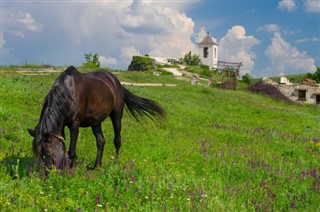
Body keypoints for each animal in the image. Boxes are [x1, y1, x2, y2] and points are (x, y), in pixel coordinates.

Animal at [27, 65, 165, 171]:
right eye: (39, 153)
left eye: (48, 151)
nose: (47, 173)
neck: (68, 93)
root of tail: (117, 82)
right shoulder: (62, 124)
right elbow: (64, 147)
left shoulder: (74, 124)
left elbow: (71, 151)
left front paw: (71, 170)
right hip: (96, 122)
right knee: (101, 141)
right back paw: (96, 166)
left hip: (116, 116)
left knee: (117, 140)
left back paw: (115, 162)